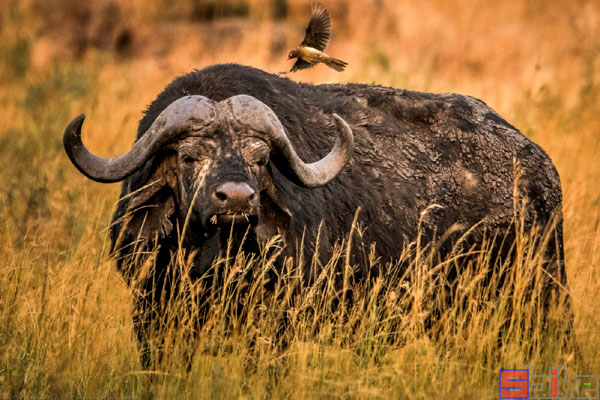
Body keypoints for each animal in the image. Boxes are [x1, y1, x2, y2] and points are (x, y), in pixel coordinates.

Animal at [63, 63, 568, 366]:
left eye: (260, 158)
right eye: (189, 156)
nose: (237, 199)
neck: (212, 259)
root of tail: (538, 167)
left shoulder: (275, 326)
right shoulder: (151, 316)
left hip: (540, 297)